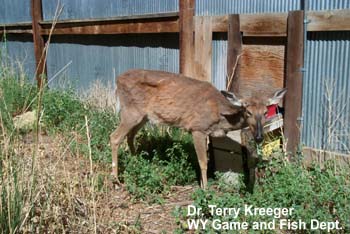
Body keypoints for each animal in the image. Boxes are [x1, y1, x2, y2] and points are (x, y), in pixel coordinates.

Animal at [110, 69, 288, 188]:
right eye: (248, 111)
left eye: (265, 112)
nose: (258, 137)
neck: (220, 115)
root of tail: (117, 80)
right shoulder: (197, 128)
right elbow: (203, 162)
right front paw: (205, 188)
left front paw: (203, 184)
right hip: (131, 111)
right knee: (114, 137)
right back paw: (116, 180)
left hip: (143, 116)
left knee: (130, 136)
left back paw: (136, 162)